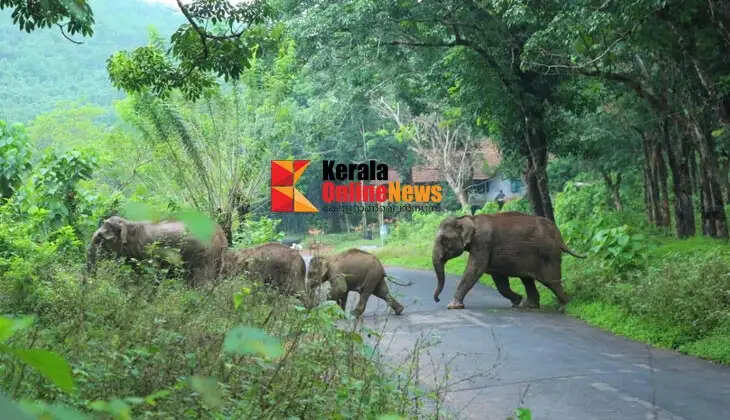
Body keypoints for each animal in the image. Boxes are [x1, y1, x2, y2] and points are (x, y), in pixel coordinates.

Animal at [432, 212, 585, 310]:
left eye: (444, 240)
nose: (437, 300)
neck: (468, 219)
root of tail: (558, 235)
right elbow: (498, 277)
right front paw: (517, 300)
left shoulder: (483, 242)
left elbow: (476, 269)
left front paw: (453, 306)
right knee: (528, 279)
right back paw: (529, 306)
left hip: (548, 254)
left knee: (550, 281)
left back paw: (565, 306)